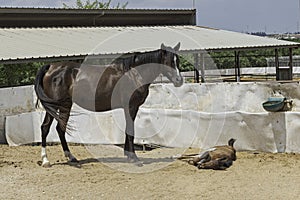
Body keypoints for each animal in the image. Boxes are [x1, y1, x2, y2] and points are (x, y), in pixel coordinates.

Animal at [34, 42, 183, 167]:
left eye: (178, 61)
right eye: (169, 62)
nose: (179, 81)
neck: (134, 74)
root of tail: (50, 67)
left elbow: (128, 130)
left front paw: (128, 156)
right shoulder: (131, 107)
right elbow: (130, 131)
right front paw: (134, 159)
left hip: (61, 106)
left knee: (55, 128)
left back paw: (68, 157)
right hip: (59, 105)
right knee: (50, 128)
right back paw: (46, 160)